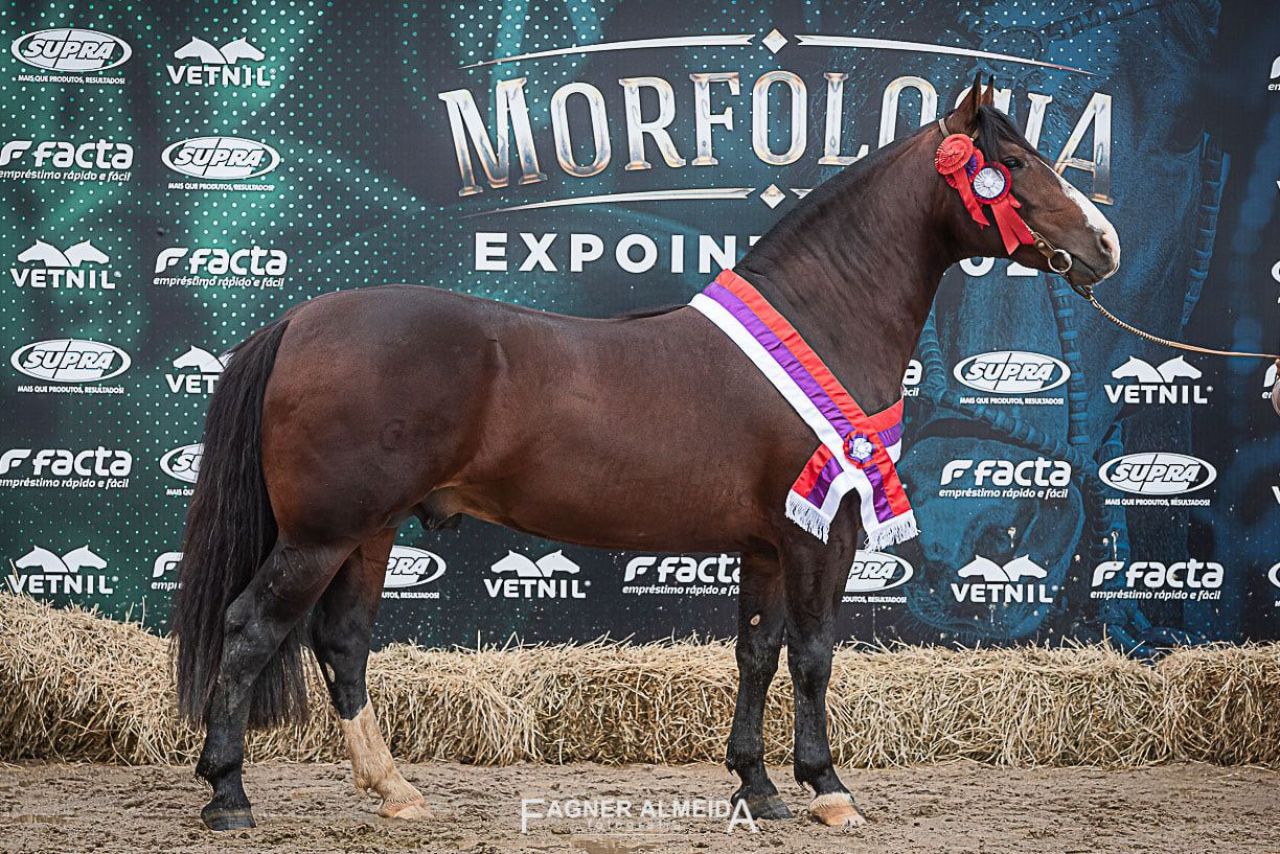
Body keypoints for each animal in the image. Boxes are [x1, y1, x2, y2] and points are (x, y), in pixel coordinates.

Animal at [172, 76, 1121, 829]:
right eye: (1016, 163)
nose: (1105, 246)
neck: (821, 319)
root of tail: (298, 321)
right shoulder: (822, 536)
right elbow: (814, 655)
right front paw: (827, 789)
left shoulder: (766, 547)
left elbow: (757, 653)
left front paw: (757, 788)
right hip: (322, 534)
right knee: (251, 630)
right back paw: (228, 796)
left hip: (367, 532)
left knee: (343, 643)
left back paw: (395, 790)